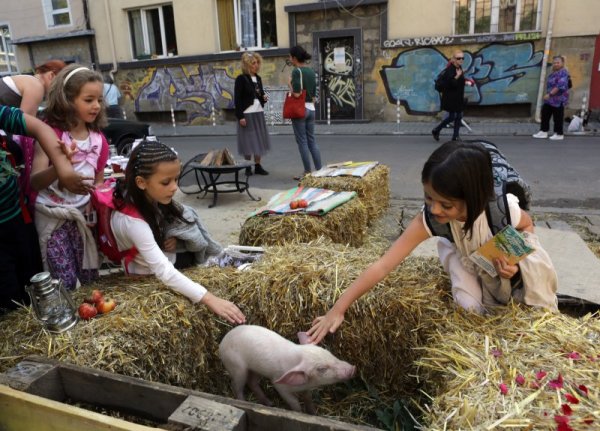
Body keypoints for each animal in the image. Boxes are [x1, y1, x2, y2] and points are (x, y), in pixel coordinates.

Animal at [218, 326, 354, 414]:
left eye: (329, 353)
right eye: (321, 369)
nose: (352, 368)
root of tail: (222, 341)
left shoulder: (305, 387)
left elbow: (308, 398)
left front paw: (313, 413)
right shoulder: (280, 386)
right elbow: (294, 403)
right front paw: (300, 413)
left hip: (256, 369)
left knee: (252, 382)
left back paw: (270, 404)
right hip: (237, 367)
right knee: (237, 386)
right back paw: (245, 402)